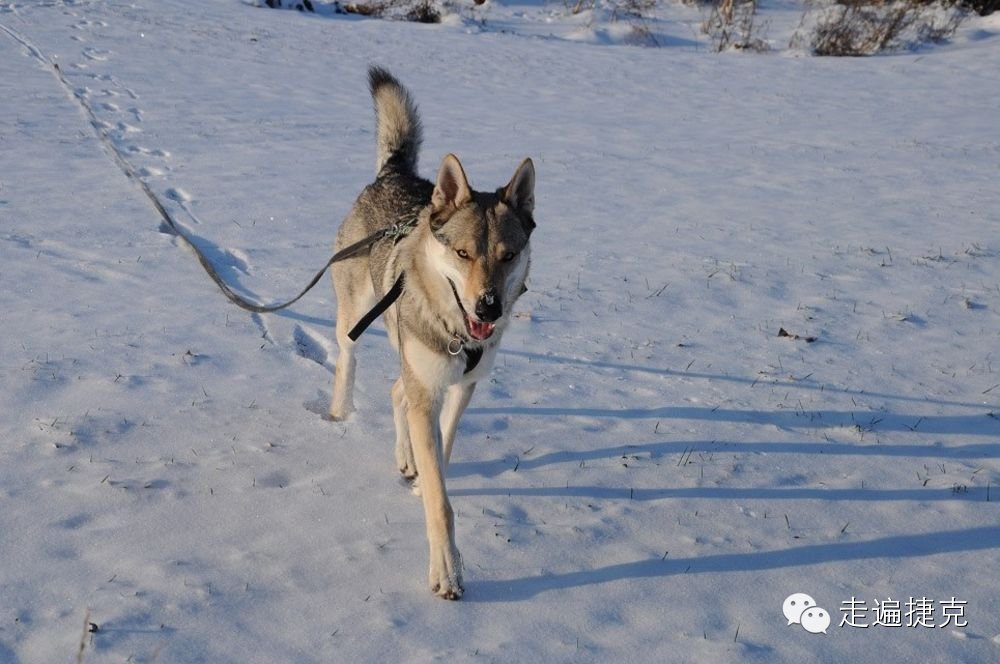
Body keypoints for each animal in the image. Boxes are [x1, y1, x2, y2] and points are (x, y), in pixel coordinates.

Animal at [330, 68, 536, 600]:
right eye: (463, 254)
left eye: (508, 255)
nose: (489, 306)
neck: (458, 335)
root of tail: (393, 174)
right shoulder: (430, 389)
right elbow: (442, 507)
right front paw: (446, 571)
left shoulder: (461, 388)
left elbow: (442, 445)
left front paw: (425, 472)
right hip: (356, 318)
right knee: (349, 361)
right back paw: (338, 413)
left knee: (395, 390)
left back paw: (407, 459)